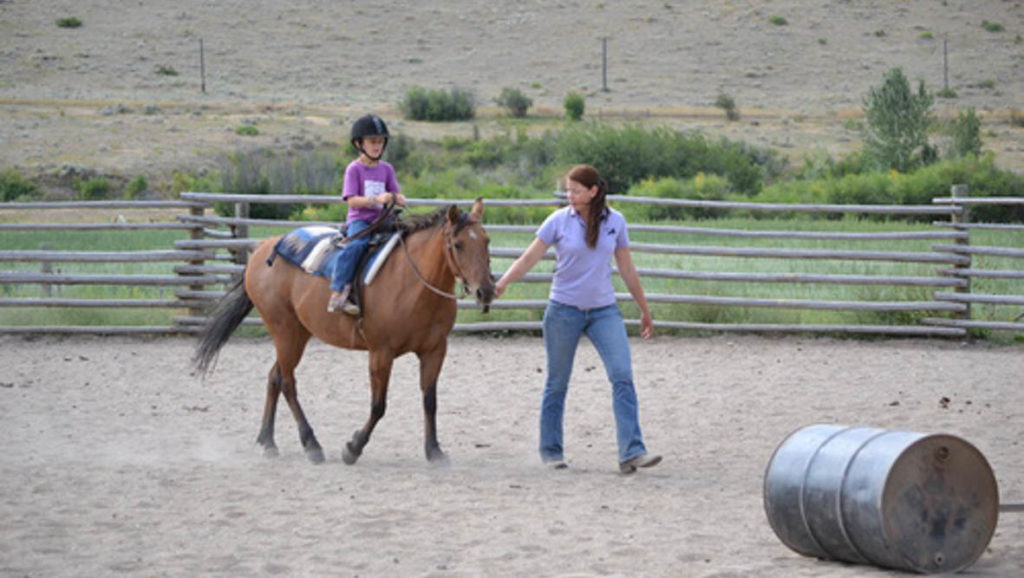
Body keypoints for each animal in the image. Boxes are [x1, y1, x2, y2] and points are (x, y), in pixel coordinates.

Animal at [194, 198, 495, 465]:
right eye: (458, 244)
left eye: (486, 241)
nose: (486, 290)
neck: (413, 283)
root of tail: (264, 248)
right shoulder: (380, 352)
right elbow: (378, 406)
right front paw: (353, 448)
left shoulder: (435, 350)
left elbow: (430, 401)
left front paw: (434, 451)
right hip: (284, 330)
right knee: (288, 382)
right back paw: (311, 445)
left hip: (297, 332)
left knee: (274, 377)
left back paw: (268, 442)